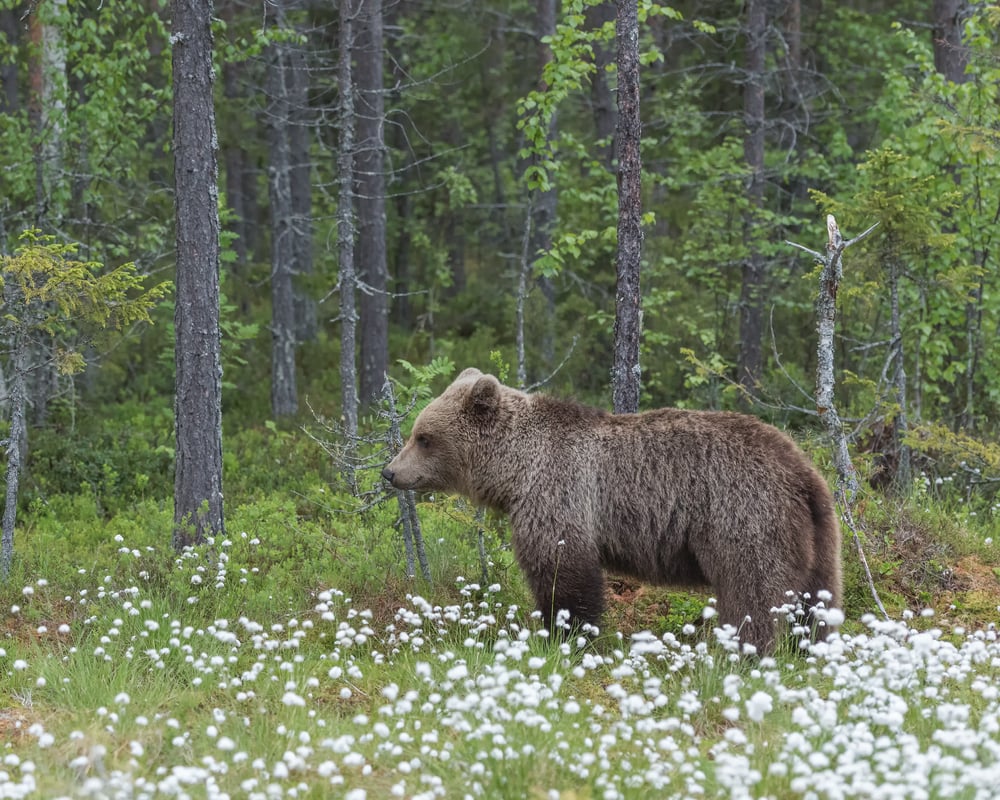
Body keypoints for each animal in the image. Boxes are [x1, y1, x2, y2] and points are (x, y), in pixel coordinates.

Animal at [382, 368, 843, 652]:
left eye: (424, 437)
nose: (390, 472)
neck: (514, 472)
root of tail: (803, 472)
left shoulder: (559, 492)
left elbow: (563, 572)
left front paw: (562, 634)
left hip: (743, 516)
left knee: (753, 592)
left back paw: (746, 653)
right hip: (817, 534)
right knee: (817, 597)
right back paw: (810, 650)